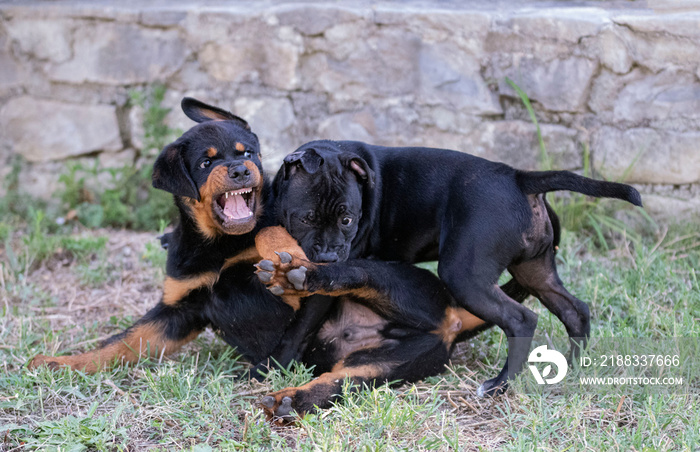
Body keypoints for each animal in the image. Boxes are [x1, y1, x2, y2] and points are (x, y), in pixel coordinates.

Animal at [270, 140, 644, 396]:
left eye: (348, 220)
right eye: (307, 218)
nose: (329, 257)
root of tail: (519, 178)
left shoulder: (321, 288)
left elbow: (301, 324)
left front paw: (272, 367)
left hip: (464, 275)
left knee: (522, 319)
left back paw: (499, 384)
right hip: (535, 271)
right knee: (574, 310)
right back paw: (574, 367)